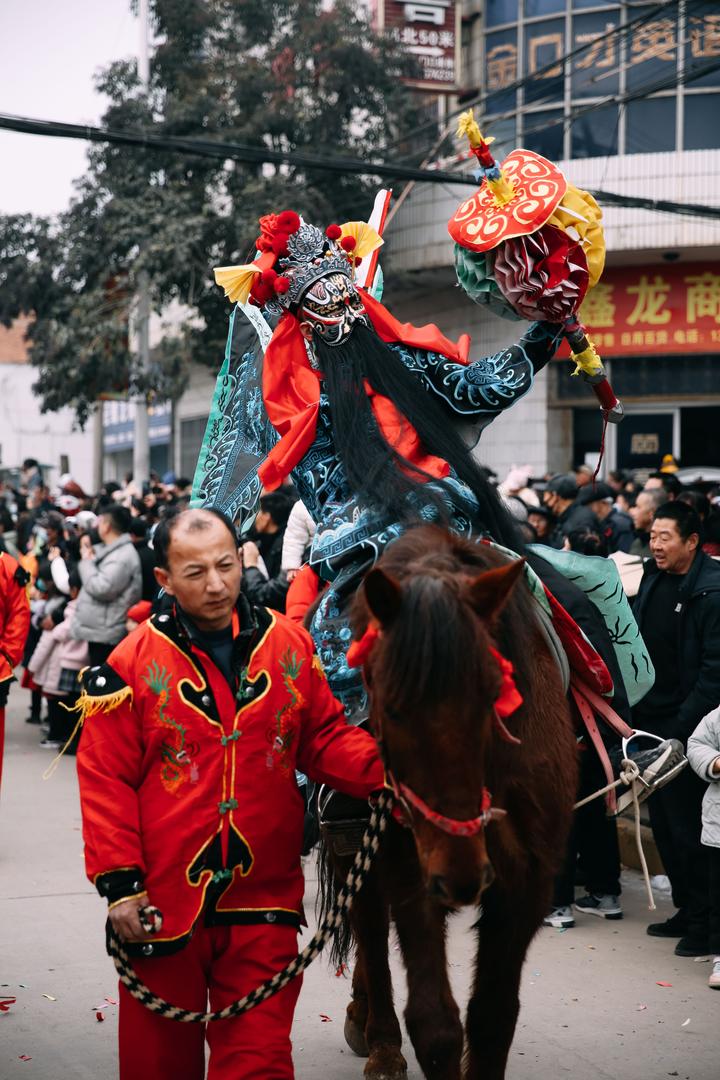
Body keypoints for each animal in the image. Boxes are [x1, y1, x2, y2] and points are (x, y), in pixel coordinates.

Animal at [321, 527, 578, 1080]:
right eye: (392, 709)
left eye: (491, 696)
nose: (461, 875)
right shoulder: (411, 866)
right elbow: (434, 1024)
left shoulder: (528, 877)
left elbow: (492, 1015)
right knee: (369, 929)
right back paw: (377, 1038)